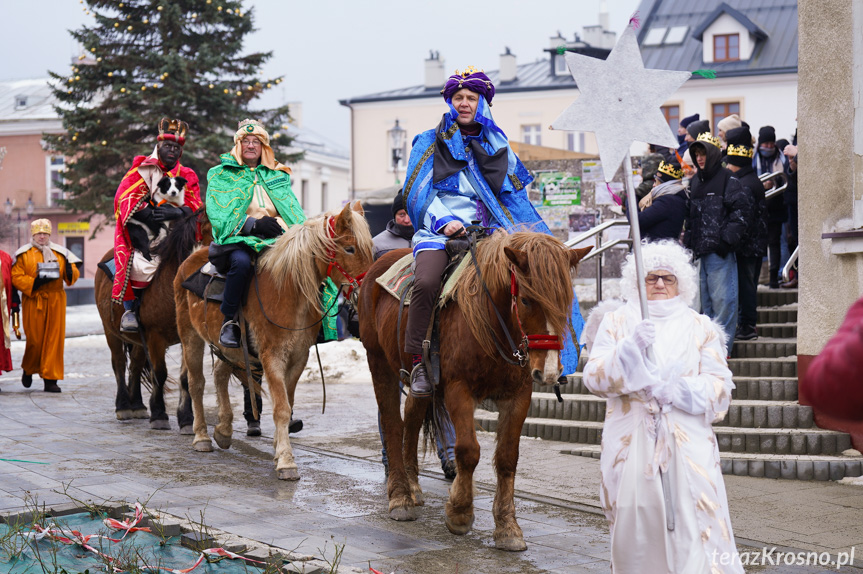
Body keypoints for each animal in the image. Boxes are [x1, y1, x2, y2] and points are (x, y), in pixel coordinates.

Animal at [95, 209, 212, 430]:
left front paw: (186, 418)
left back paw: (137, 405)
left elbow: (185, 377)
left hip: (140, 341)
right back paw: (123, 406)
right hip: (110, 331)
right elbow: (160, 373)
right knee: (119, 363)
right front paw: (159, 414)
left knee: (135, 365)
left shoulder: (186, 337)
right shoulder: (155, 337)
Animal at [176, 202, 374, 482]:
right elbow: (281, 407)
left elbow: (288, 404)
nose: (367, 289)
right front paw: (287, 462)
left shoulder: (298, 357)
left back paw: (223, 430)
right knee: (196, 384)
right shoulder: (272, 357)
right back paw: (202, 436)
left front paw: (280, 449)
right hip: (190, 337)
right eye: (349, 248)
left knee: (219, 375)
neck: (287, 290)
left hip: (232, 349)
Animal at [360, 232, 592, 556]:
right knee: (393, 425)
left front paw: (507, 528)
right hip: (379, 362)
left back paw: (414, 487)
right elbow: (468, 450)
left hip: (421, 384)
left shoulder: (518, 396)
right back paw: (400, 497)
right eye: (526, 299)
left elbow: (507, 458)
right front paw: (459, 512)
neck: (492, 321)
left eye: (566, 300)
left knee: (412, 420)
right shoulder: (459, 389)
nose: (547, 372)